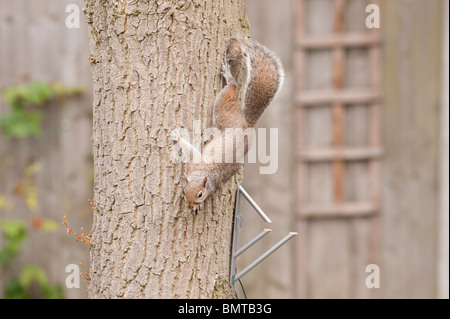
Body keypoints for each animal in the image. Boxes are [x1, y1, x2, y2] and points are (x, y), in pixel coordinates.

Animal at [171, 37, 284, 212]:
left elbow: (191, 150)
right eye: (184, 191)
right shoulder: (192, 165)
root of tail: (247, 123)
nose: (190, 206)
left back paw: (228, 75)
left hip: (223, 112)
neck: (203, 175)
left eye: (200, 195)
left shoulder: (197, 164)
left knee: (232, 87)